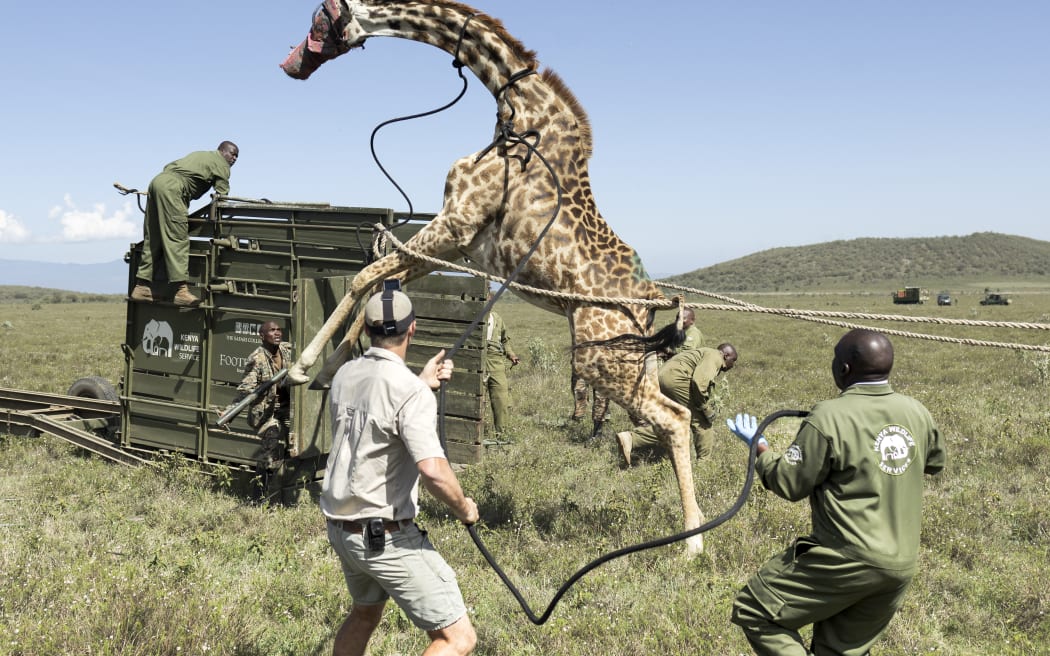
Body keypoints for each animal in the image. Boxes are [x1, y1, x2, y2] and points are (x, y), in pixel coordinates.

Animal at [282, 0, 706, 555]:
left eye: (317, 18)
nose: (290, 65)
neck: (517, 110)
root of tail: (654, 300)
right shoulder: (460, 240)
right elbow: (376, 283)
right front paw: (331, 367)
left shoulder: (456, 222)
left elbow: (363, 277)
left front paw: (300, 367)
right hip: (633, 359)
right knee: (665, 414)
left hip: (597, 357)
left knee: (675, 418)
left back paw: (693, 541)